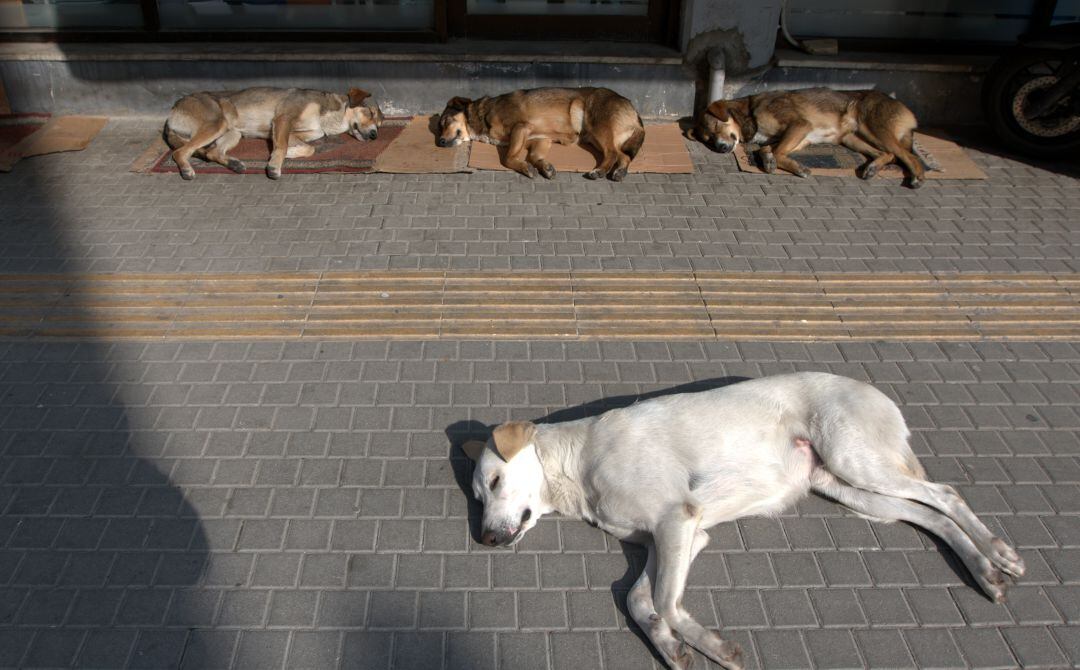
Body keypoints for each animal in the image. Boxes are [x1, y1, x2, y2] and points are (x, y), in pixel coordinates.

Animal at [164, 86, 384, 180]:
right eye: (370, 113)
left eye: (380, 124)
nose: (375, 135)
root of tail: (173, 108)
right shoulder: (283, 119)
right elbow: (282, 145)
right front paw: (275, 164)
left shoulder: (299, 132)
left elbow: (308, 147)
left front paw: (289, 154)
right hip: (216, 123)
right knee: (180, 152)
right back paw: (187, 170)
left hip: (233, 133)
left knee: (211, 152)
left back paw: (235, 164)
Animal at [436, 86, 643, 180]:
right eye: (439, 127)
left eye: (446, 121)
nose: (440, 142)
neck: (482, 114)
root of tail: (633, 109)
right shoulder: (540, 140)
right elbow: (534, 156)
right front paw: (545, 166)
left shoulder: (520, 128)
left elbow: (508, 157)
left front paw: (525, 167)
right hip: (596, 138)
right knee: (624, 155)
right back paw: (620, 171)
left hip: (600, 129)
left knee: (613, 153)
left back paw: (599, 171)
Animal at [460, 371, 1023, 670]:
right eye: (477, 495)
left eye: (494, 482)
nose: (485, 538)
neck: (579, 463)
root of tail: (874, 389)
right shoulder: (674, 538)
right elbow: (639, 600)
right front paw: (671, 646)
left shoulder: (677, 520)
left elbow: (666, 601)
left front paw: (710, 645)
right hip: (853, 489)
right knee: (927, 515)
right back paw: (984, 571)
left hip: (856, 459)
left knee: (945, 494)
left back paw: (998, 552)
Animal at [699, 87, 928, 188]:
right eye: (708, 139)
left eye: (716, 126)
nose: (720, 147)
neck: (750, 113)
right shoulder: (802, 138)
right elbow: (768, 149)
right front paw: (775, 162)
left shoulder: (800, 126)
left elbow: (776, 150)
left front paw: (792, 166)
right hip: (852, 137)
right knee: (888, 153)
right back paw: (872, 168)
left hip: (873, 126)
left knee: (908, 156)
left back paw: (917, 177)